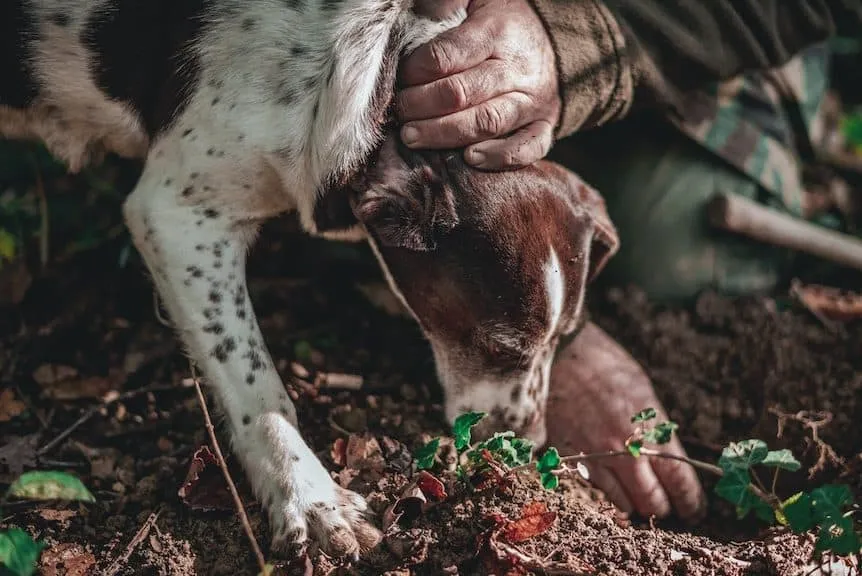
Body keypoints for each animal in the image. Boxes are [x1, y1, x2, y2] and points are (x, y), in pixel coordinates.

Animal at [0, 0, 620, 560]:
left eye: (565, 340)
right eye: (498, 347)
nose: (528, 445)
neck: (379, 73)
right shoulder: (176, 215)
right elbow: (258, 387)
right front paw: (310, 498)